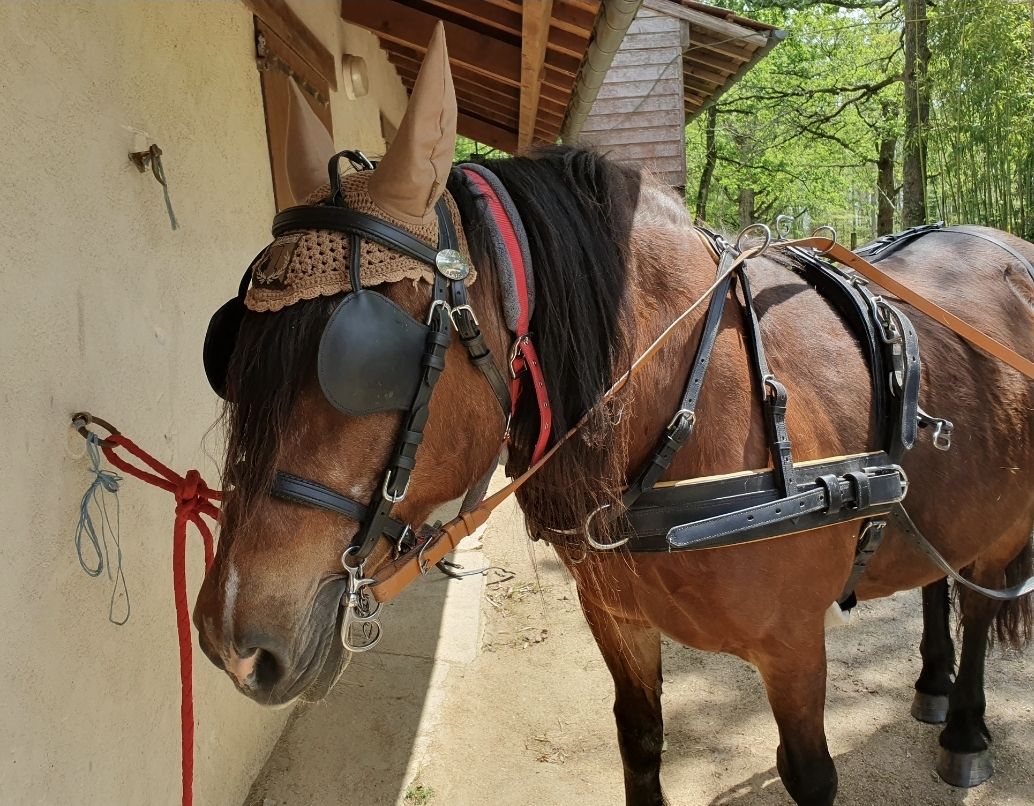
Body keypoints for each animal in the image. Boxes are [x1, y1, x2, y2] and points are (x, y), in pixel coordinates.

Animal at [193, 25, 1034, 806]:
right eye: (232, 349)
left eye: (368, 361)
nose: (232, 642)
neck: (689, 407)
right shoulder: (616, 613)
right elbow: (640, 737)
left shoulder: (794, 644)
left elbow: (810, 775)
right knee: (940, 574)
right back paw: (932, 685)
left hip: (1005, 515)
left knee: (979, 598)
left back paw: (964, 727)